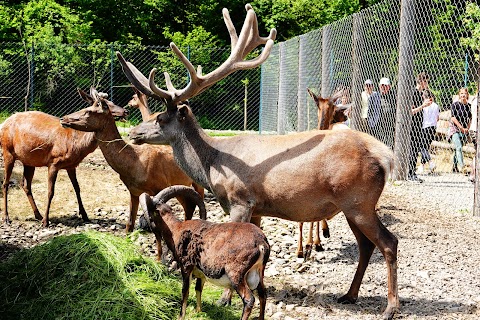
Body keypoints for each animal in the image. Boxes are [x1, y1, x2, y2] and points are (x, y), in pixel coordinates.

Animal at [0, 88, 127, 228]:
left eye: (111, 102)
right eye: (107, 104)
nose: (125, 111)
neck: (78, 146)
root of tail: (3, 123)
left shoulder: (71, 165)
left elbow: (77, 188)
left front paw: (85, 215)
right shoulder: (54, 162)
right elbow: (50, 191)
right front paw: (46, 221)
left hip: (29, 160)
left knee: (25, 184)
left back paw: (37, 215)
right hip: (7, 151)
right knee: (5, 183)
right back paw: (7, 217)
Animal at [60, 89, 204, 258]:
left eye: (89, 111)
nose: (63, 118)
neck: (133, 165)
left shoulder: (160, 187)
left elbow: (158, 228)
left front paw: (158, 258)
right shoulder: (133, 191)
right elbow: (129, 223)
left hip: (197, 182)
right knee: (189, 206)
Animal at [140, 185, 270, 320]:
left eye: (150, 212)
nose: (141, 223)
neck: (175, 229)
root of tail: (261, 243)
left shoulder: (186, 267)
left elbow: (185, 291)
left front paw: (181, 316)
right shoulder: (201, 273)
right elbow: (198, 289)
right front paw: (199, 311)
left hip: (236, 275)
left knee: (249, 299)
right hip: (259, 272)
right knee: (263, 295)